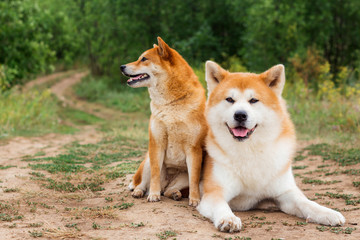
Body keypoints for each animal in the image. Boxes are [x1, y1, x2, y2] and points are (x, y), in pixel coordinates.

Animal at [121, 37, 207, 206]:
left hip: (182, 177)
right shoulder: (157, 144)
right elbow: (155, 175)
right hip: (148, 161)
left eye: (144, 59)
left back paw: (175, 194)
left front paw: (195, 199)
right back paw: (140, 192)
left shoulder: (194, 150)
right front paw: (153, 195)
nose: (122, 67)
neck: (170, 104)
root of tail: (167, 183)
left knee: (168, 190)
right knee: (143, 184)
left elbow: (194, 180)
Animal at [197, 61, 346, 232]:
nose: (240, 115)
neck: (250, 150)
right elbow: (221, 206)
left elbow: (306, 202)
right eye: (229, 99)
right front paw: (228, 218)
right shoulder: (214, 192)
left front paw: (327, 212)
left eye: (253, 100)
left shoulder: (285, 193)